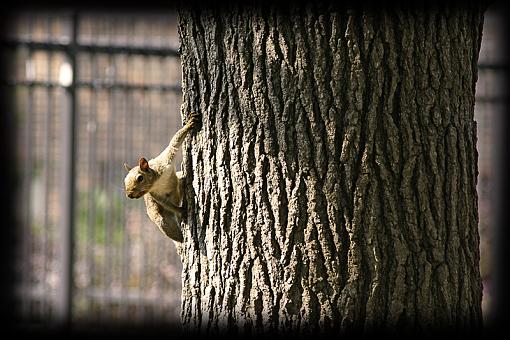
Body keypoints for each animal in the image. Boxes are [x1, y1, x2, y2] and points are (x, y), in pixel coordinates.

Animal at [123, 112, 201, 242]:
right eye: (124, 181)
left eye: (140, 178)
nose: (129, 195)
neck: (156, 182)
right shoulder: (155, 195)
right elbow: (164, 201)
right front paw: (180, 210)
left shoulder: (165, 161)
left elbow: (174, 143)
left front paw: (189, 124)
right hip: (161, 219)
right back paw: (182, 239)